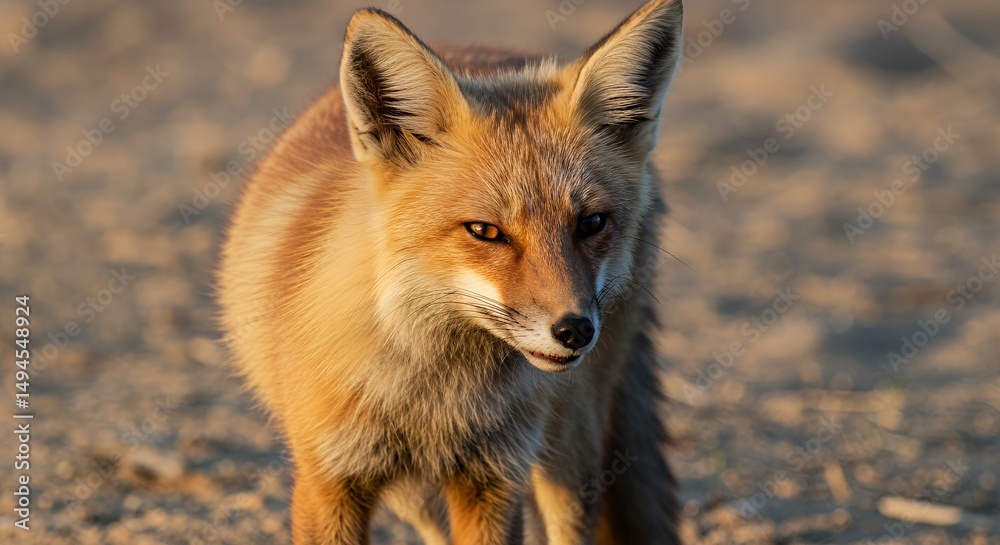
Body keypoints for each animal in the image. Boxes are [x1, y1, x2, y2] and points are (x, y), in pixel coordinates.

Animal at [218, 0, 685, 543]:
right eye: (484, 231)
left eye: (591, 223)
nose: (575, 331)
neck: (439, 400)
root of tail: (485, 49)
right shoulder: (329, 479)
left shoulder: (495, 479)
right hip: (416, 495)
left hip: (571, 445)